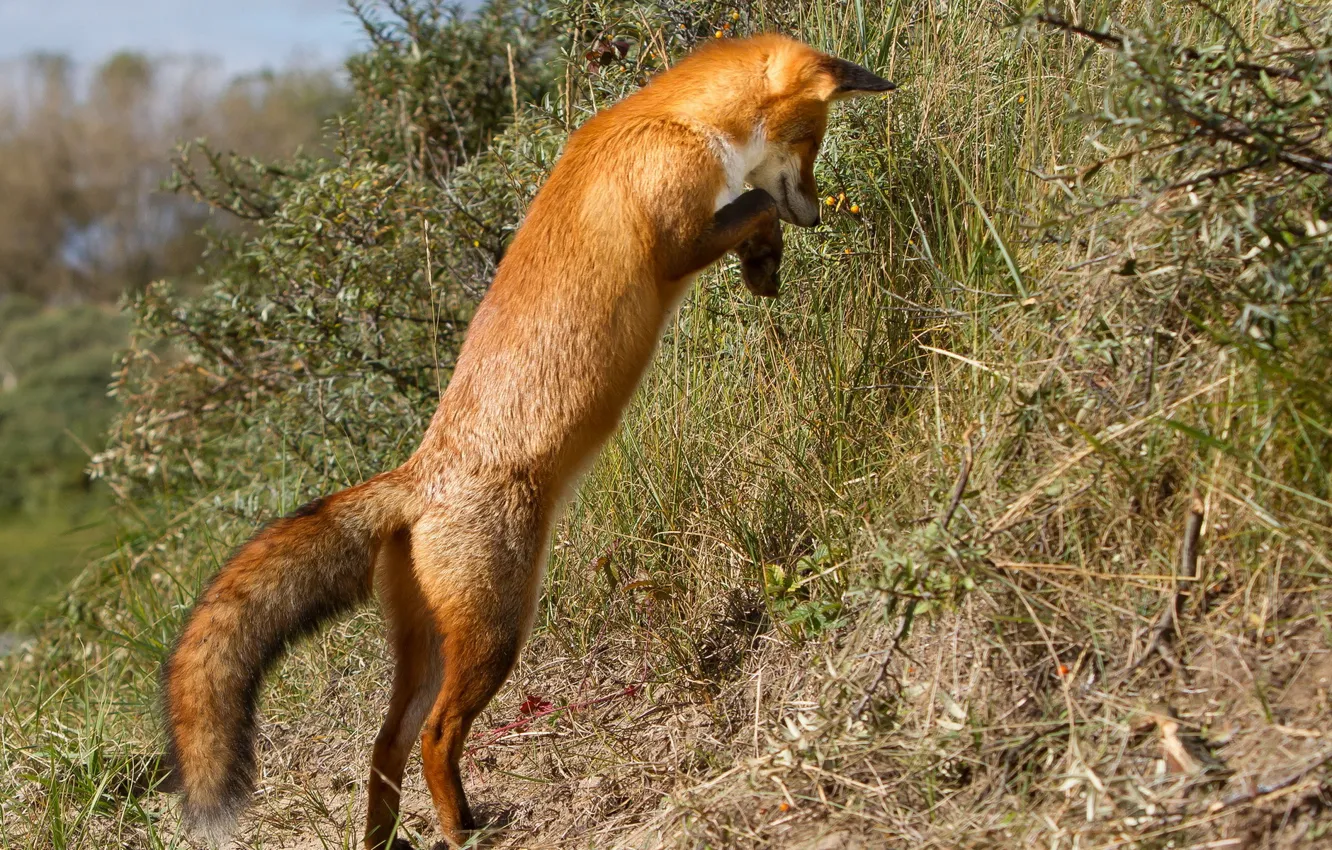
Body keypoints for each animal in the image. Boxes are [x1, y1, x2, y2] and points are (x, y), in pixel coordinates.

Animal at [162, 33, 893, 850]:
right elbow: (755, 202)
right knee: (434, 737)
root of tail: (417, 476)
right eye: (813, 140)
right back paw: (462, 829)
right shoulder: (675, 243)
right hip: (497, 632)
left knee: (384, 745)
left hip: (432, 649)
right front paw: (767, 251)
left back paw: (388, 837)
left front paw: (764, 267)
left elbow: (754, 210)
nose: (819, 217)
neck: (672, 121)